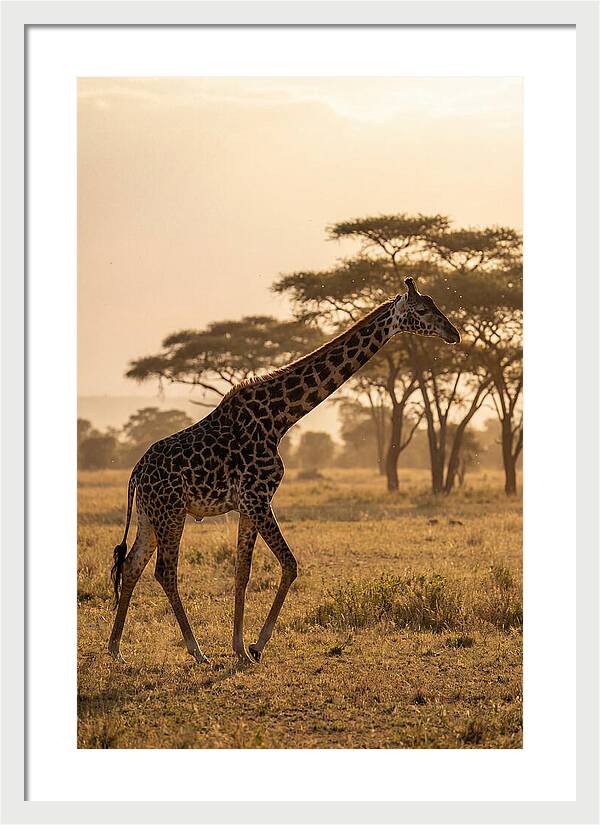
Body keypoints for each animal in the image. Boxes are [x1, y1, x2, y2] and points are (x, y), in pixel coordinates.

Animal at [108, 277, 460, 665]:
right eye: (422, 310)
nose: (454, 334)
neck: (280, 418)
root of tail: (136, 473)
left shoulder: (248, 505)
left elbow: (242, 571)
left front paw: (240, 649)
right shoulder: (258, 497)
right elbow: (290, 564)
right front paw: (256, 646)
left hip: (150, 515)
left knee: (131, 565)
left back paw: (115, 649)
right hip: (172, 512)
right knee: (165, 571)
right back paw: (196, 652)